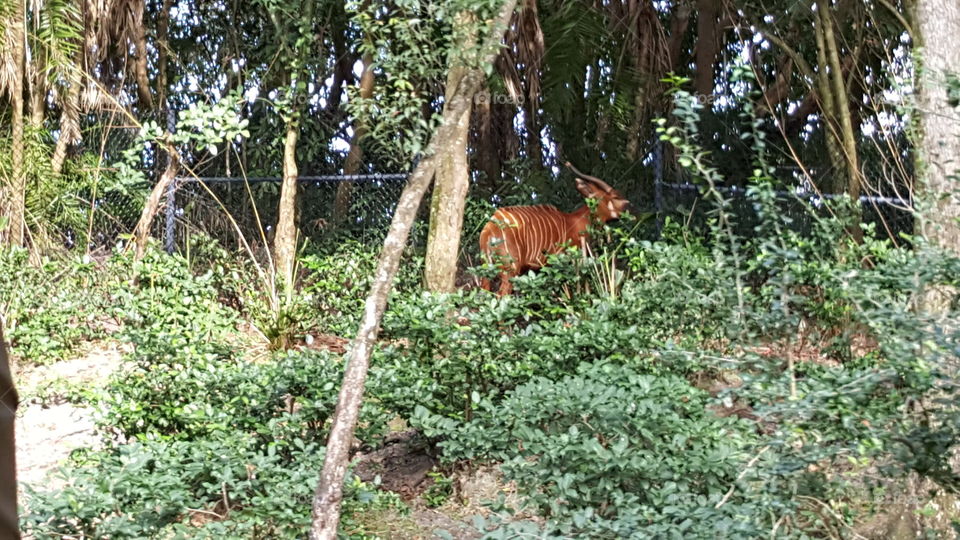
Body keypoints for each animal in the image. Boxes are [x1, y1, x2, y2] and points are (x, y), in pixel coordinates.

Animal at [478, 162, 632, 296]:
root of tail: (489, 230)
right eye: (615, 196)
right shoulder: (568, 259)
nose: (630, 206)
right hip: (511, 270)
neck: (575, 221)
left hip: (486, 269)